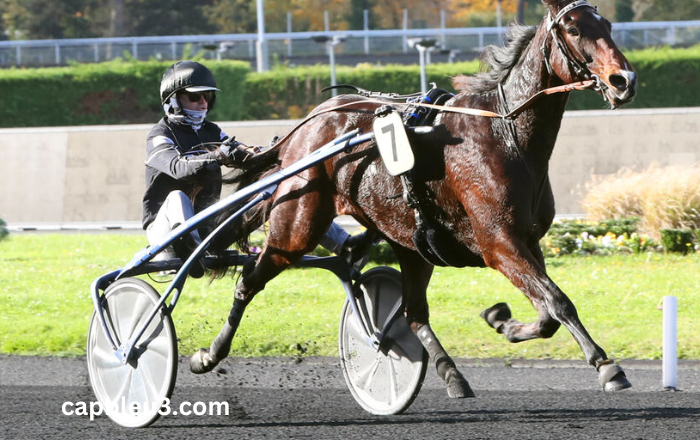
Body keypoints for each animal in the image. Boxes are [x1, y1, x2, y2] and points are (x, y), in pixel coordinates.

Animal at [189, 0, 636, 398]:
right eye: (573, 29)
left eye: (608, 24)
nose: (624, 80)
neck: (504, 134)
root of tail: (307, 126)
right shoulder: (498, 243)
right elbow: (558, 302)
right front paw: (607, 366)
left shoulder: (527, 241)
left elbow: (546, 314)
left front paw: (501, 320)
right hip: (296, 227)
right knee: (249, 281)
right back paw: (208, 354)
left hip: (409, 241)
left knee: (412, 313)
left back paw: (451, 374)